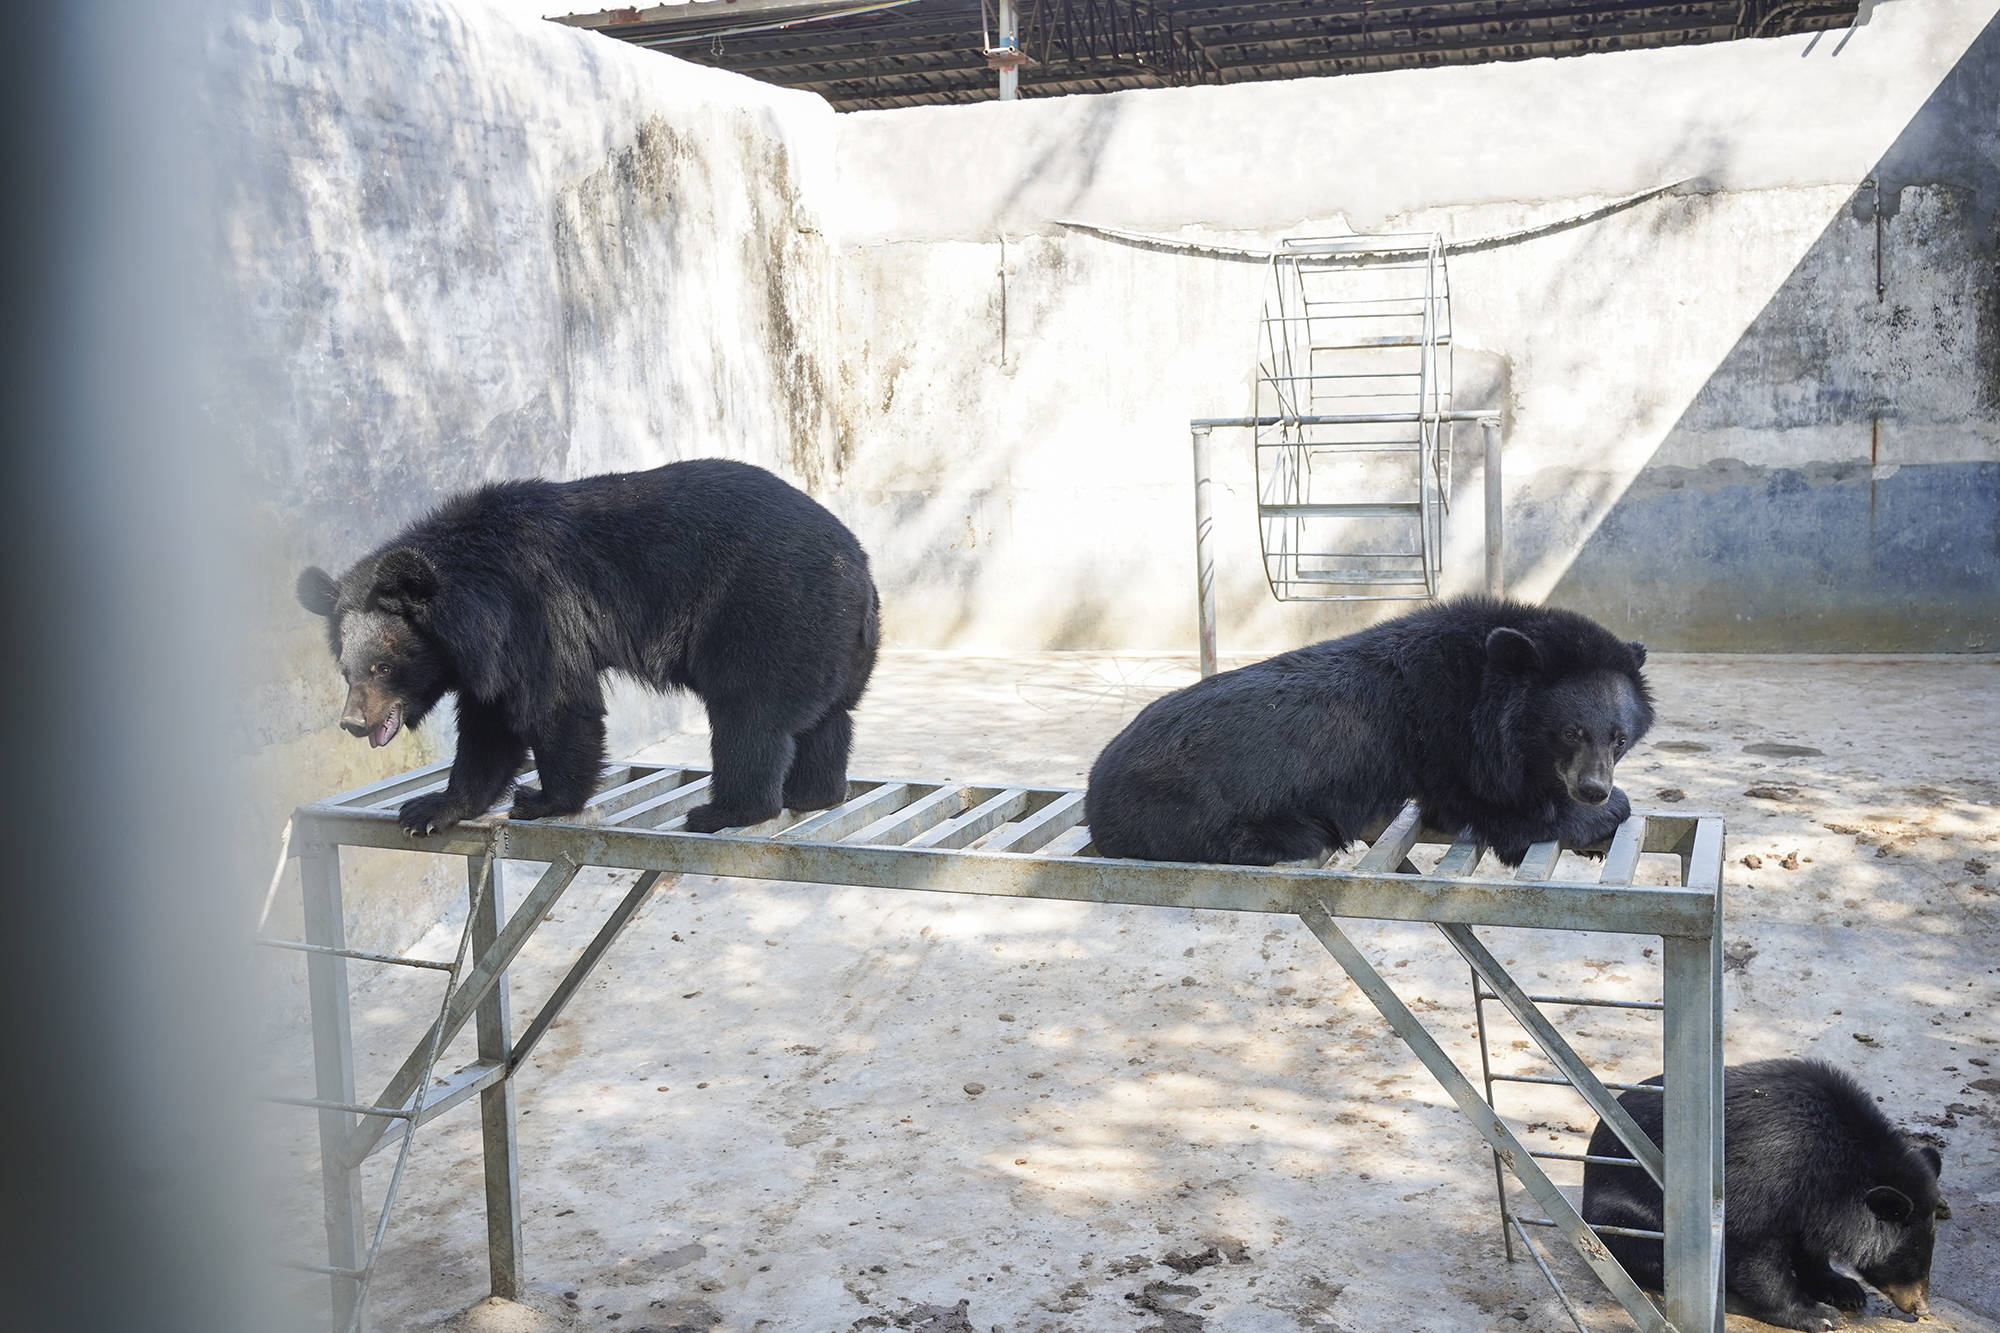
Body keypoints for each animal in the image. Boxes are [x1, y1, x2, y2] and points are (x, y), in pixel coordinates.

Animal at [294, 456, 876, 832]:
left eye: (382, 667)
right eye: (346, 671)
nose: (353, 723)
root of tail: (859, 569)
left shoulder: (531, 611)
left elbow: (557, 703)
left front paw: (543, 800)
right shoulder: (492, 653)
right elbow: (490, 726)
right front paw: (432, 809)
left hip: (765, 614)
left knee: (749, 717)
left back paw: (724, 812)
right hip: (825, 642)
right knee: (826, 720)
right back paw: (814, 792)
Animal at [1088, 596, 1648, 868]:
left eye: (1619, 738)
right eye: (1571, 732)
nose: (1593, 789)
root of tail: (1095, 792)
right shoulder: (1447, 740)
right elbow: (1495, 810)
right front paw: (1600, 813)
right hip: (1197, 812)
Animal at [1584, 1056, 1944, 1320]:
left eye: (1924, 1257)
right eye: (1910, 1259)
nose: (1921, 1308)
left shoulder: (1809, 1202)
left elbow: (1808, 1244)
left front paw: (1843, 1289)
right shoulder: (1769, 1168)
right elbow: (1754, 1250)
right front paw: (1815, 1314)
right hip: (1624, 1213)